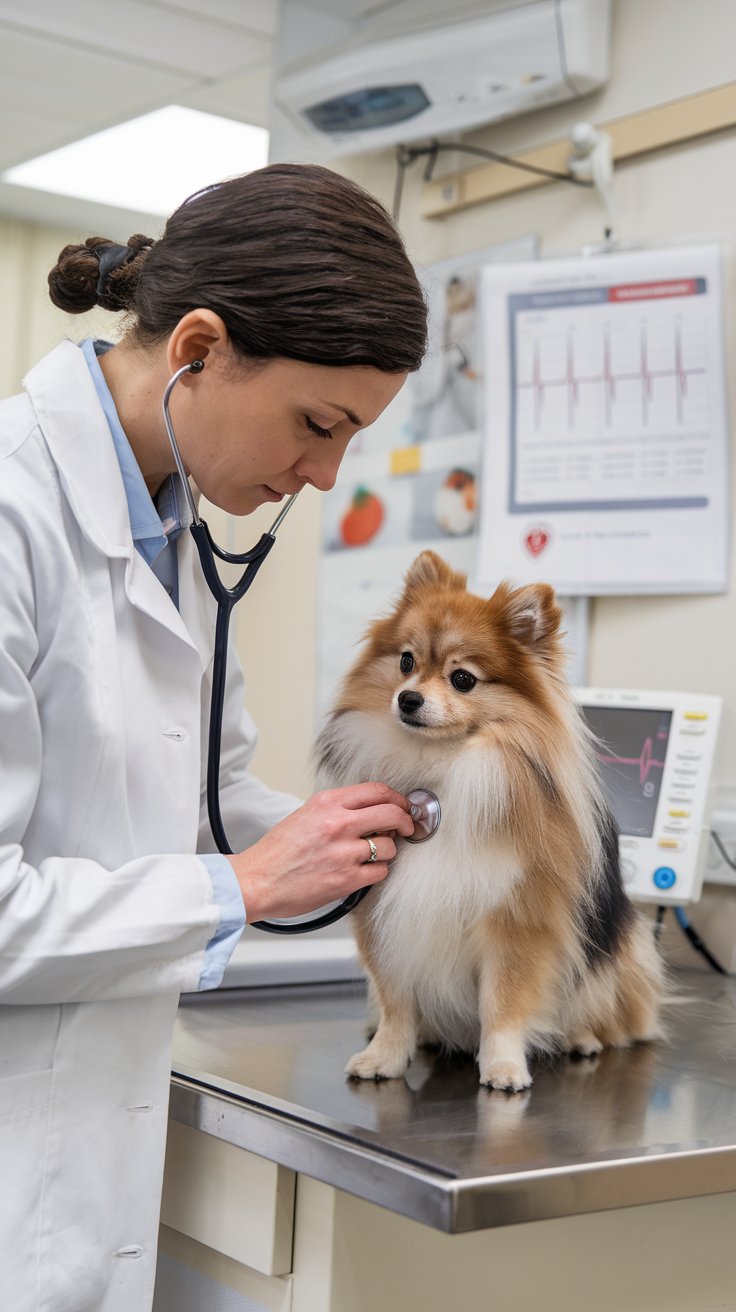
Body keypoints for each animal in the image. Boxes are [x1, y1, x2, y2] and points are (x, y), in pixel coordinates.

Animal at [314, 548, 661, 1091]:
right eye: (406, 661)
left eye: (463, 679)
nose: (408, 698)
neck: (440, 771)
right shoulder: (384, 919)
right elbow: (396, 1005)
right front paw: (385, 1056)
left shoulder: (517, 922)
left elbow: (503, 1006)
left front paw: (502, 1066)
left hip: (617, 960)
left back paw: (581, 1038)